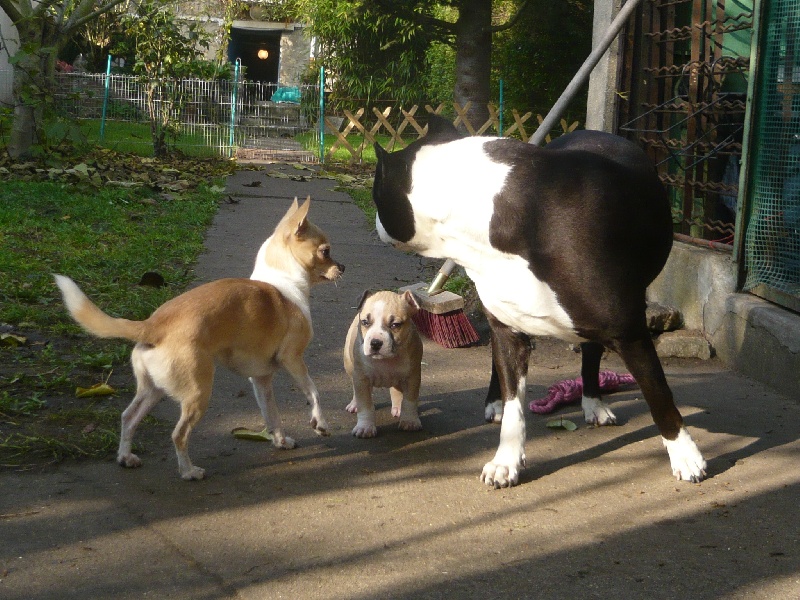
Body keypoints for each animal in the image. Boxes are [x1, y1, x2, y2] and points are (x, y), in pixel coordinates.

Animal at [54, 199, 342, 480]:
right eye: (325, 252)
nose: (343, 267)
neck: (283, 282)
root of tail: (152, 325)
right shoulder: (293, 360)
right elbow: (313, 392)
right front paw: (321, 423)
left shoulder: (261, 380)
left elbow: (272, 415)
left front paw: (281, 441)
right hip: (198, 393)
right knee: (178, 434)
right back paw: (189, 471)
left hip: (153, 390)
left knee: (128, 417)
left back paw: (126, 457)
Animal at [344, 290, 424, 436]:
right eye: (365, 322)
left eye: (395, 325)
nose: (375, 342)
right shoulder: (362, 379)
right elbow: (365, 405)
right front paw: (365, 427)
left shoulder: (413, 377)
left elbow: (409, 401)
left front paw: (410, 421)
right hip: (349, 364)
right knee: (354, 386)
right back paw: (354, 404)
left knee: (396, 389)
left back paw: (398, 407)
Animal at [374, 116, 708, 488]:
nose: (377, 222)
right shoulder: (508, 330)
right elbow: (513, 405)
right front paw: (505, 459)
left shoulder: (630, 333)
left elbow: (659, 395)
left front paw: (685, 455)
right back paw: (497, 403)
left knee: (592, 351)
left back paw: (593, 401)